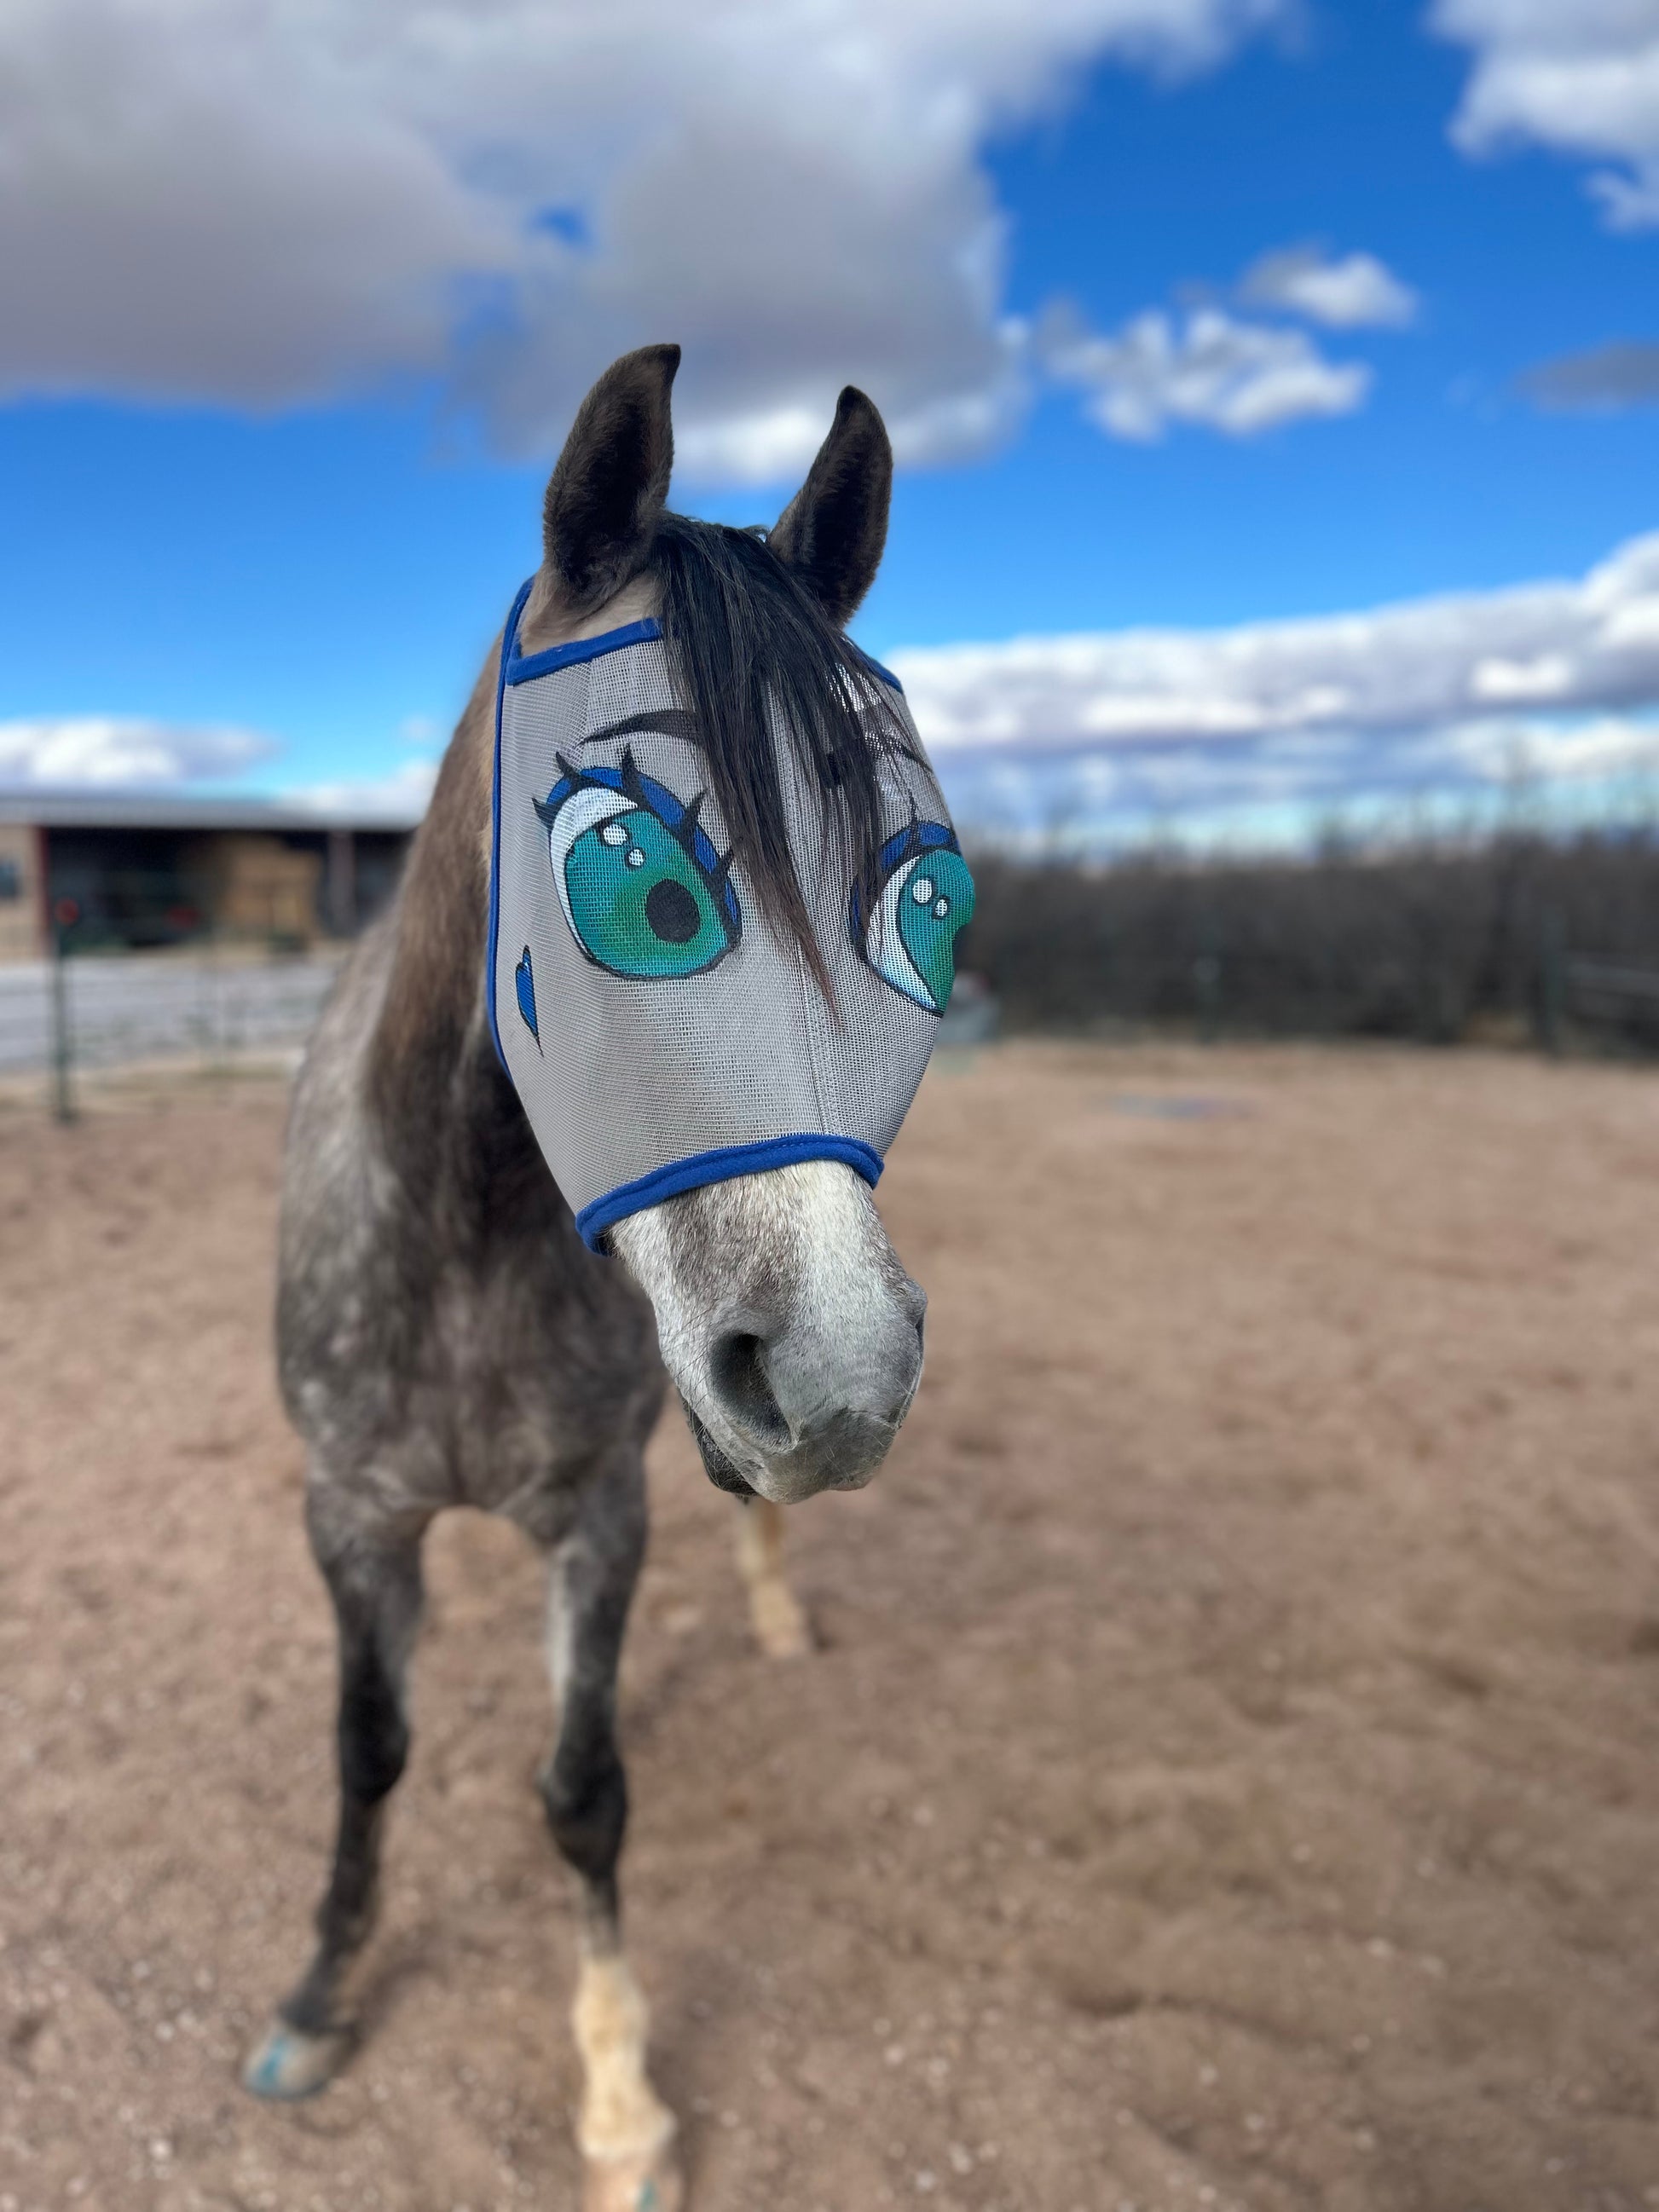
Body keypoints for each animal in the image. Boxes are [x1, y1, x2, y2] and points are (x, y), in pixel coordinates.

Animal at [242, 344, 968, 2212]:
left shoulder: (603, 1513)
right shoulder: (350, 1513)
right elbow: (366, 1752)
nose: (836, 1377)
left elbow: (583, 1792)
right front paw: (318, 2002)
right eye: (636, 889)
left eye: (928, 901)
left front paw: (623, 2105)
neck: (469, 1232)